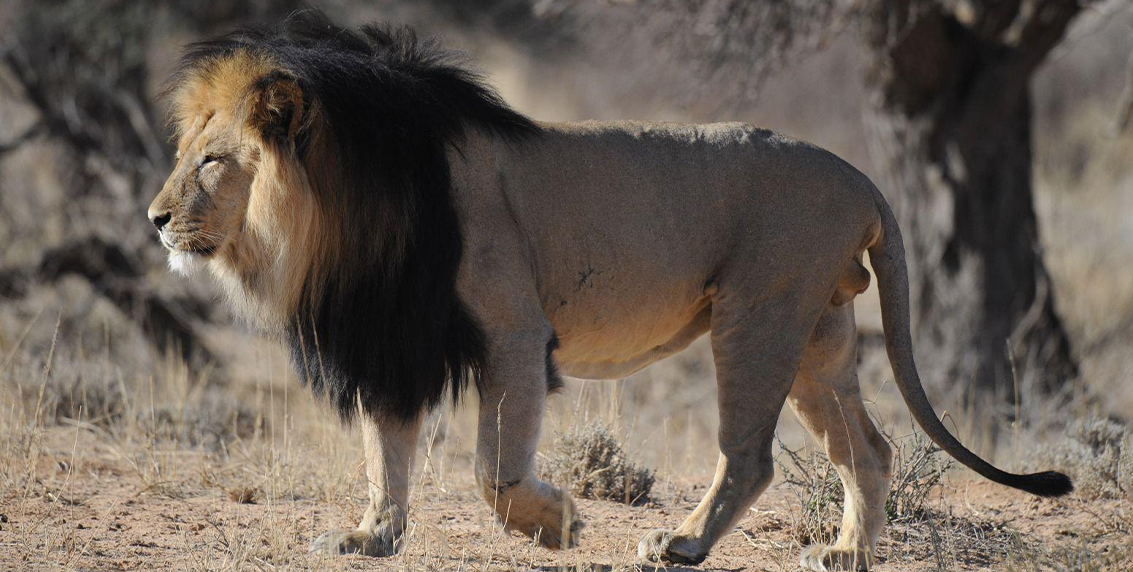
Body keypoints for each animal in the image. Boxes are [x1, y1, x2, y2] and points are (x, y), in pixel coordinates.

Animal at [148, 12, 1071, 571]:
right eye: (185, 154)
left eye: (212, 162)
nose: (154, 219)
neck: (345, 217)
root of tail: (859, 177)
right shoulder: (392, 341)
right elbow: (386, 454)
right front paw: (371, 535)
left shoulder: (511, 332)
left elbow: (492, 469)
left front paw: (558, 525)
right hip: (821, 335)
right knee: (868, 450)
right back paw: (844, 553)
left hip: (757, 317)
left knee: (750, 453)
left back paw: (682, 545)